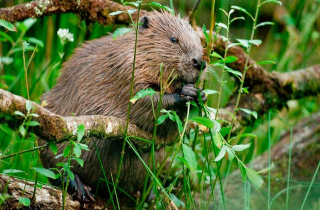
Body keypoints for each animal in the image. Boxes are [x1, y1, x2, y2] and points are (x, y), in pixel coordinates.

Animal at [40, 11, 206, 203]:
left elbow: (168, 133)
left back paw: (150, 194)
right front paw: (185, 92)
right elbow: (143, 101)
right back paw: (79, 186)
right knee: (57, 165)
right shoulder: (126, 70)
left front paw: (201, 95)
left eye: (199, 41)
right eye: (173, 39)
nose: (199, 62)